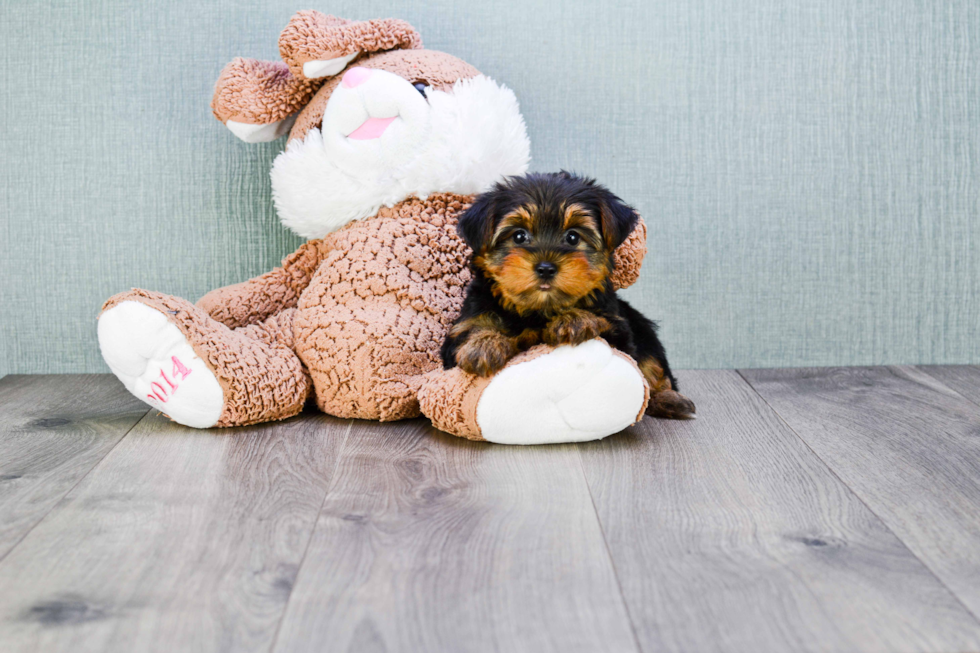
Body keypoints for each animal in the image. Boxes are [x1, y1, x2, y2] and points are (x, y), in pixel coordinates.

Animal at [442, 171, 696, 420]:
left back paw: (669, 399)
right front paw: (483, 345)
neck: (539, 310)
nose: (546, 268)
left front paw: (574, 319)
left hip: (642, 329)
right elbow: (473, 328)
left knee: (653, 366)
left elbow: (605, 325)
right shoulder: (465, 325)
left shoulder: (619, 331)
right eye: (519, 236)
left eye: (573, 237)